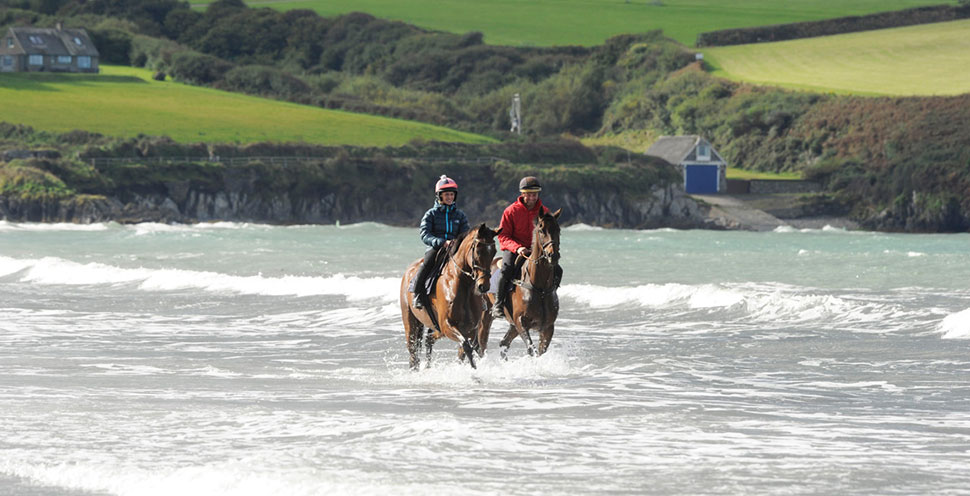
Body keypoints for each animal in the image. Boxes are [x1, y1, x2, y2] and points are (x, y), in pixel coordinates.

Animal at [398, 223, 500, 370]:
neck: (463, 285)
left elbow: (467, 350)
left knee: (429, 339)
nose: (484, 286)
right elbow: (466, 347)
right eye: (478, 251)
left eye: (494, 252)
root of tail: (408, 272)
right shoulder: (447, 325)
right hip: (410, 322)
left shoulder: (469, 328)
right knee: (413, 351)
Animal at [482, 207, 564, 358]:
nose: (553, 255)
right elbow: (532, 349)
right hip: (485, 317)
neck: (540, 287)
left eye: (558, 229)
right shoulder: (520, 322)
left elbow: (541, 351)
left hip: (512, 325)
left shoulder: (548, 327)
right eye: (541, 229)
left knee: (504, 343)